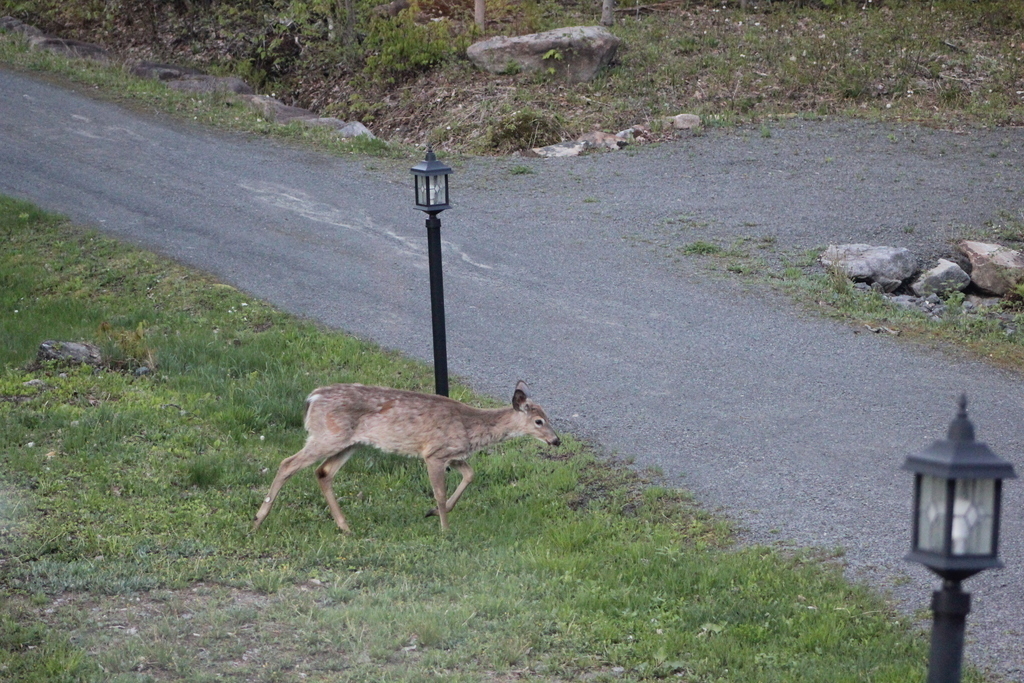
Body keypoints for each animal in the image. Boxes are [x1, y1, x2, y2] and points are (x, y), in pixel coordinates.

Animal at [252, 380, 561, 533]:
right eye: (539, 421)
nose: (556, 440)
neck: (471, 426)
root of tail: (311, 399)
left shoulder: (451, 454)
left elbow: (470, 474)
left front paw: (434, 512)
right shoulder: (434, 453)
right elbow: (439, 492)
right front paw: (445, 529)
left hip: (348, 443)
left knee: (323, 473)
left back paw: (345, 527)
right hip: (328, 435)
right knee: (288, 464)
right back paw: (258, 519)